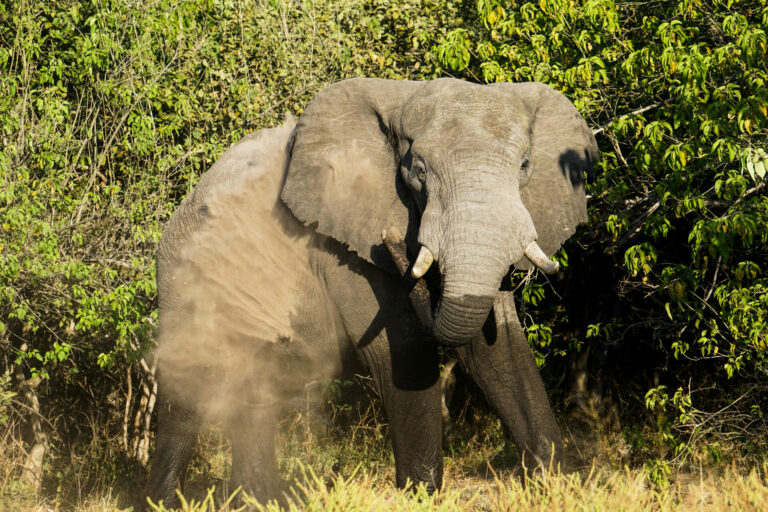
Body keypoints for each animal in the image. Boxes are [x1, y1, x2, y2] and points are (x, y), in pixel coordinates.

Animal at [144, 77, 600, 508]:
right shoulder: (342, 244)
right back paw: (164, 503)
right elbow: (403, 348)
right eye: (418, 171)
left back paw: (261, 502)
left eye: (524, 165)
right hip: (184, 279)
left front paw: (556, 483)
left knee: (254, 393)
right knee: (189, 393)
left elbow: (499, 348)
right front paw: (420, 496)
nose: (393, 238)